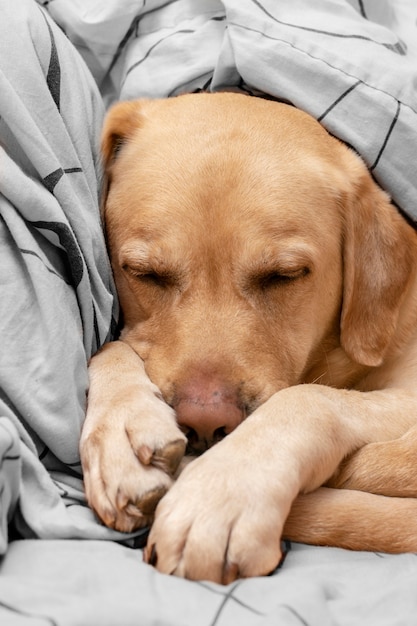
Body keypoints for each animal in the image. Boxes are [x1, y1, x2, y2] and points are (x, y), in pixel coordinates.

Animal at [79, 91, 416, 580]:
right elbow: (109, 345)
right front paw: (121, 430)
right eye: (144, 273)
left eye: (284, 275)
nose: (204, 423)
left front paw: (221, 494)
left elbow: (309, 399)